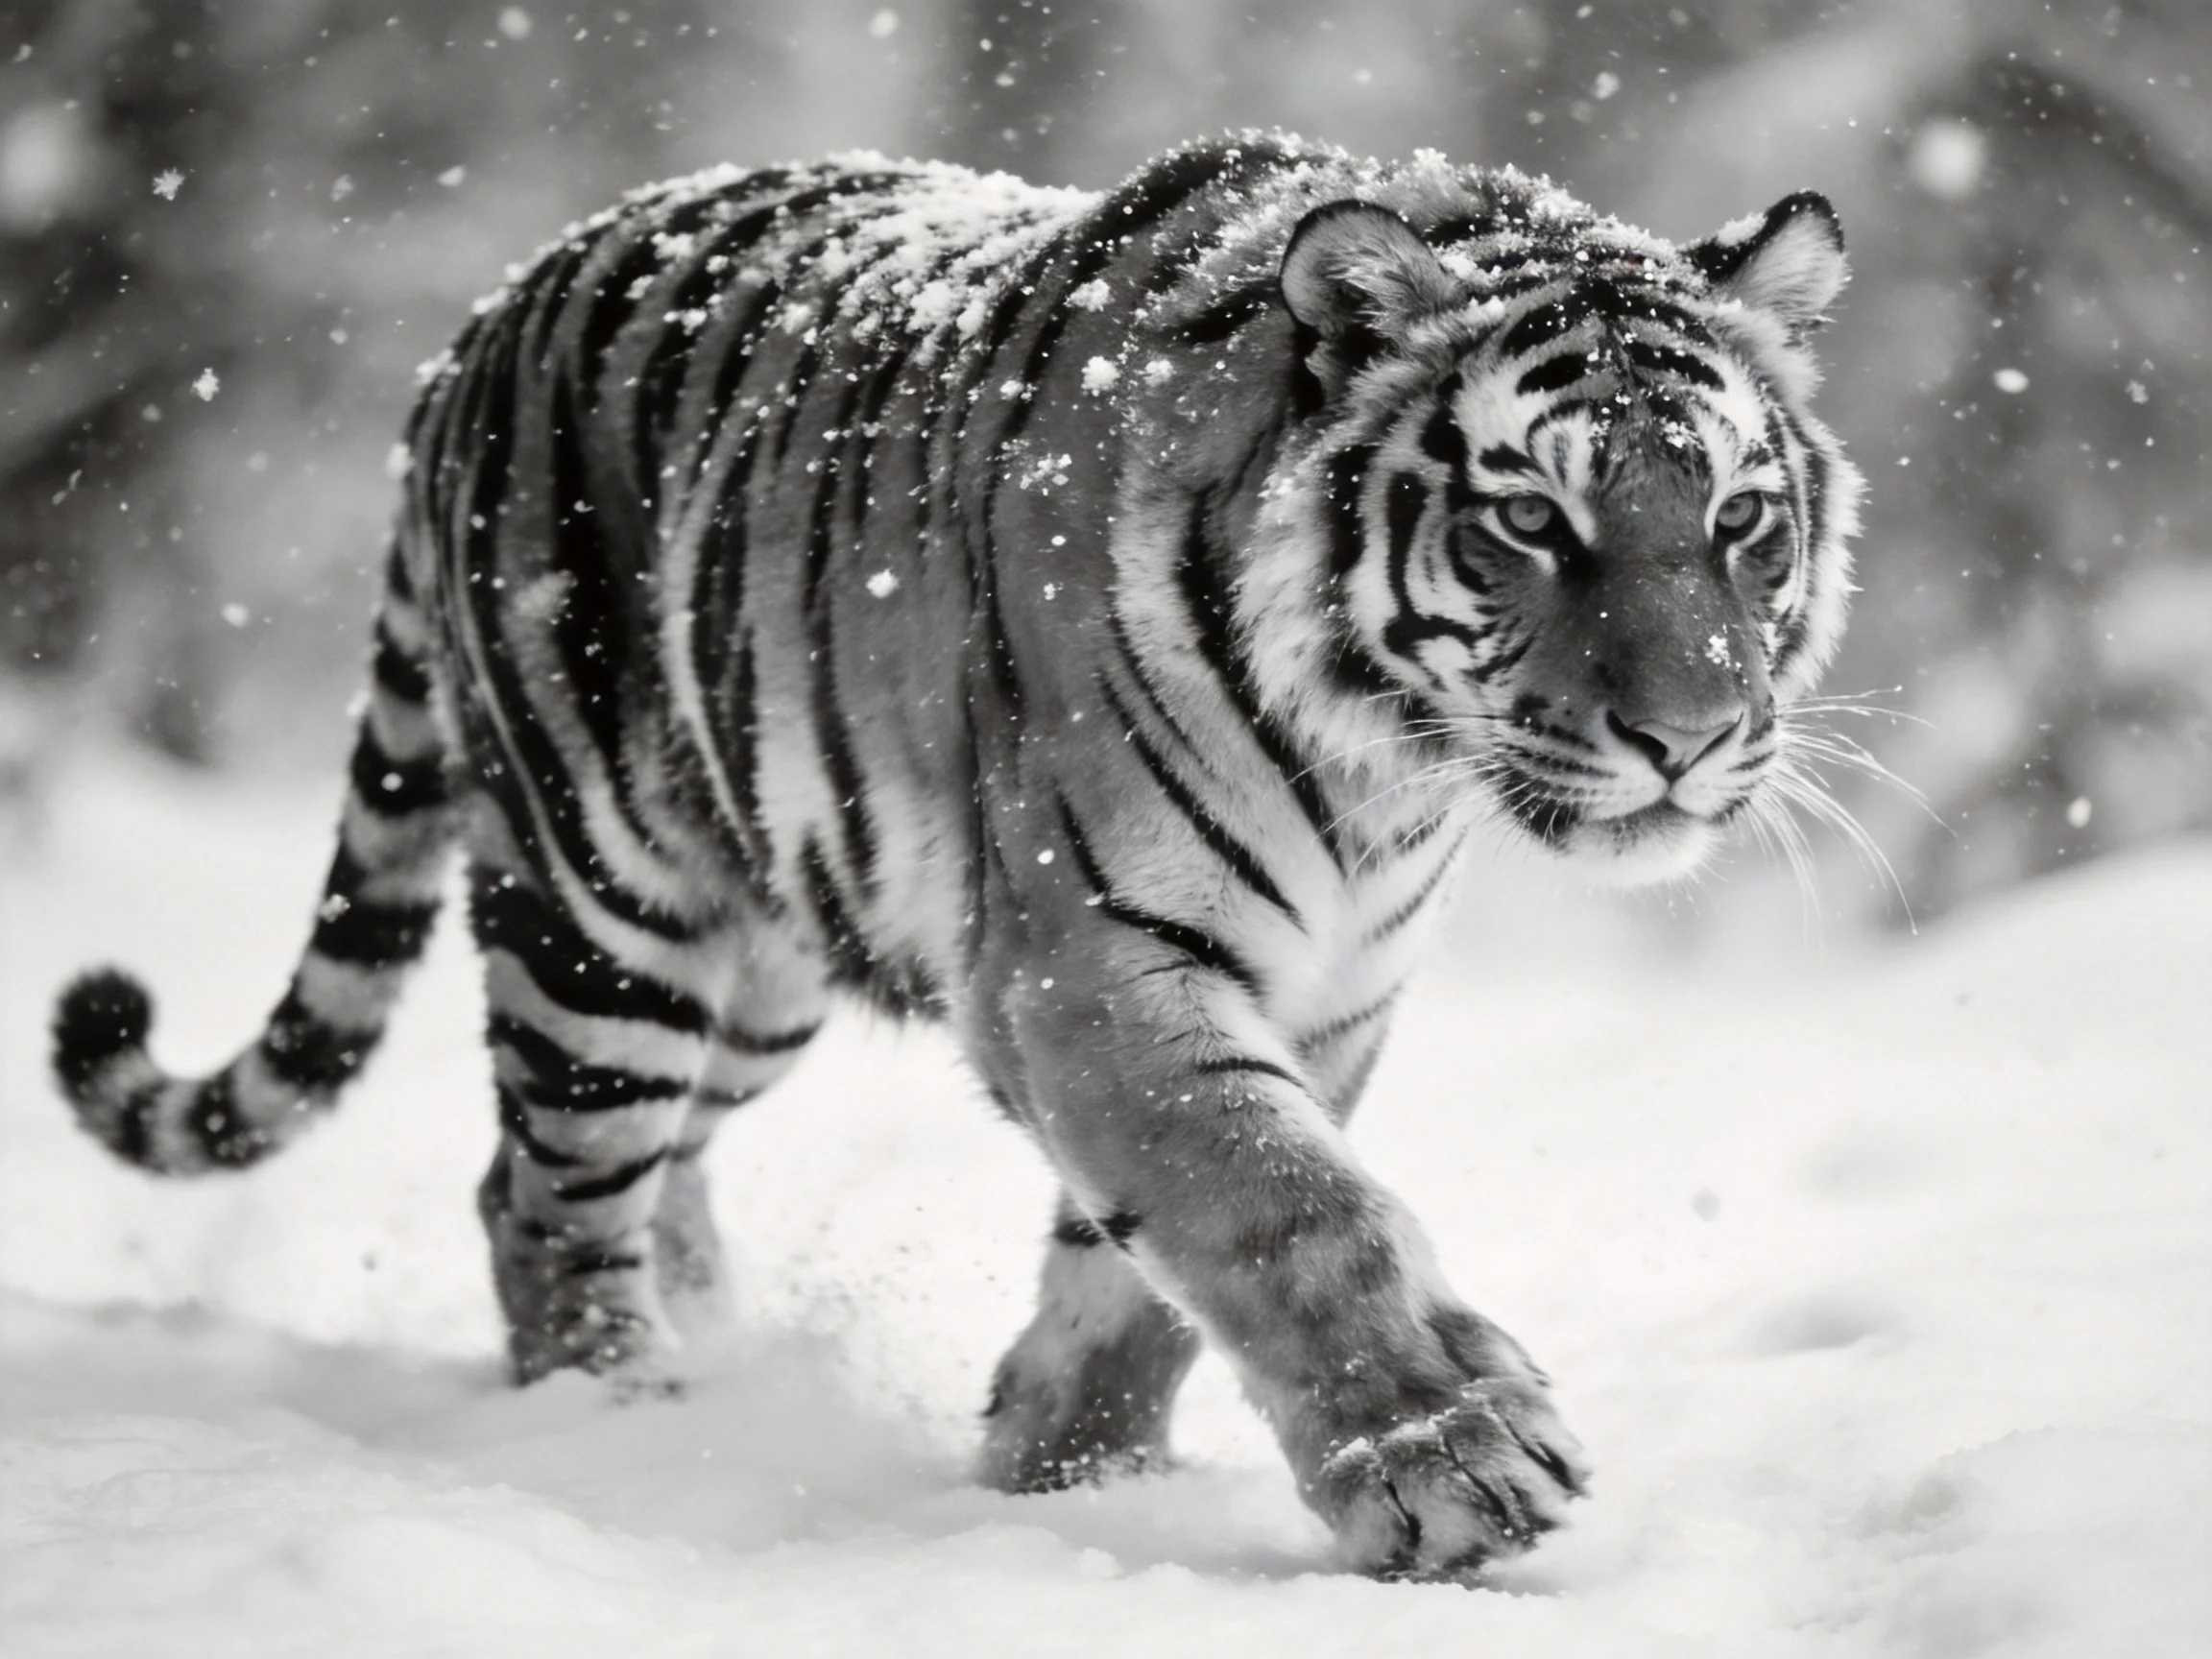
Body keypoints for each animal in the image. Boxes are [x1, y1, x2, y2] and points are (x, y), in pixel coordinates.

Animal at [52, 132, 1860, 1579]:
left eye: (1736, 519)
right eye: (1528, 520)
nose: (1691, 734)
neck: (1384, 767)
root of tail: (483, 321)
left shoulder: (1325, 989)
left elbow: (1142, 1268)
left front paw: (1071, 1474)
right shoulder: (1090, 958)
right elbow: (1276, 1204)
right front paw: (1445, 1461)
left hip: (760, 976)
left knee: (633, 1168)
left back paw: (715, 1347)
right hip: (602, 914)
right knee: (543, 1189)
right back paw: (627, 1412)